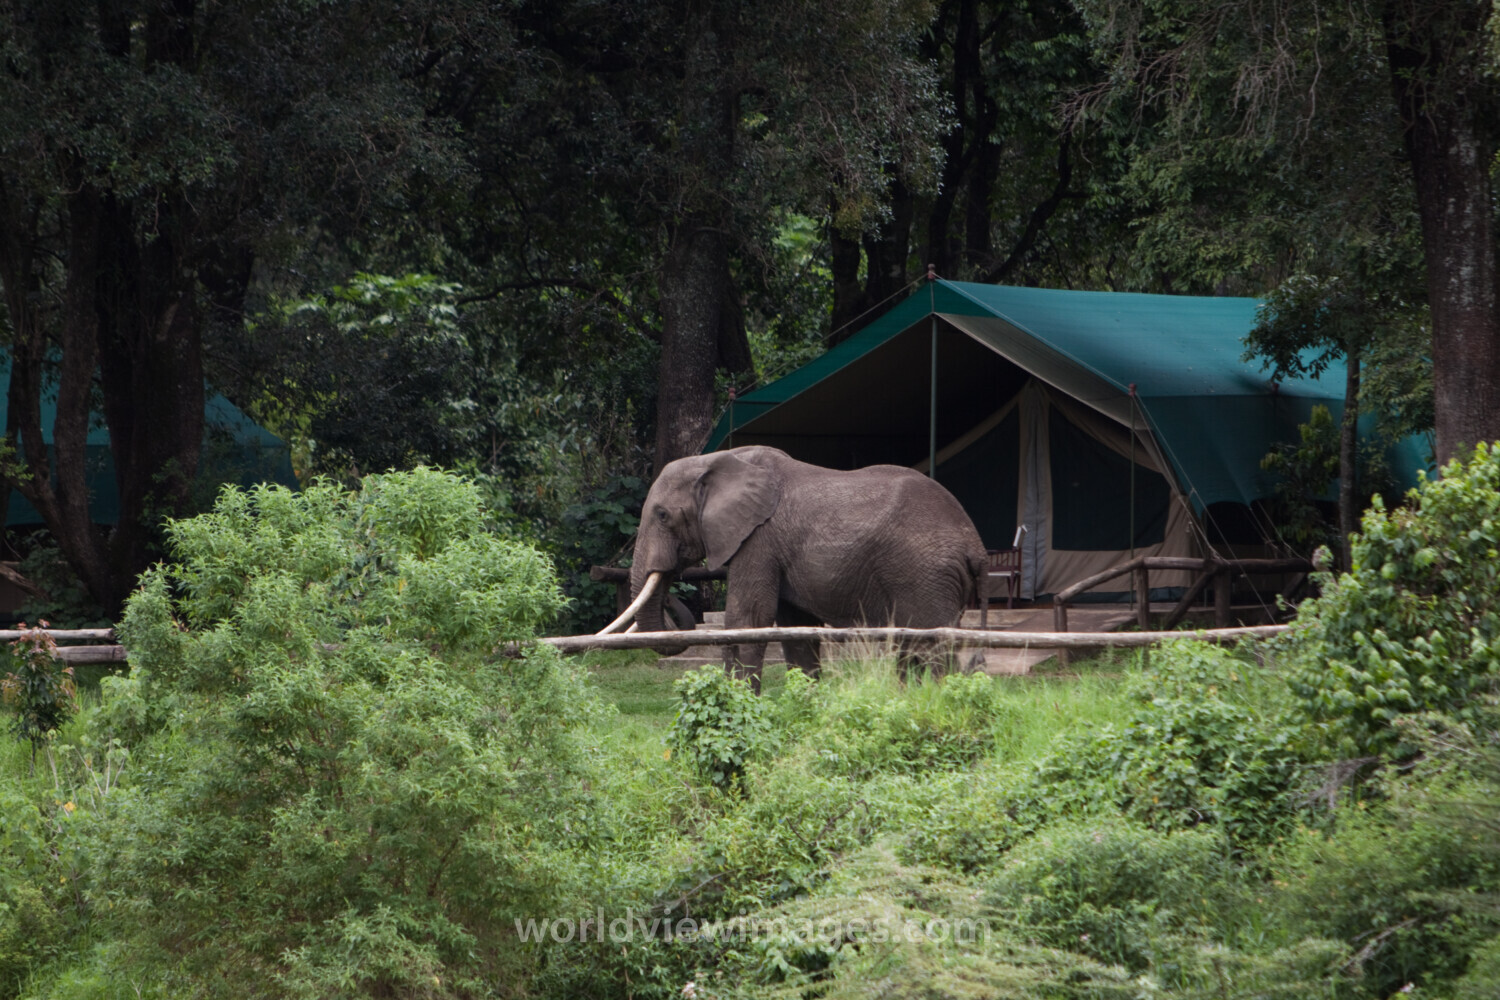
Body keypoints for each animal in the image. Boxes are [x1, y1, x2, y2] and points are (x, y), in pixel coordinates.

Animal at [610, 445, 989, 693]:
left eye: (662, 515)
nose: (671, 579)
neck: (717, 460)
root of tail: (977, 548)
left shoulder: (758, 539)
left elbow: (747, 620)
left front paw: (738, 702)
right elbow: (796, 628)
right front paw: (805, 703)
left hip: (926, 575)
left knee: (931, 648)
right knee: (910, 647)